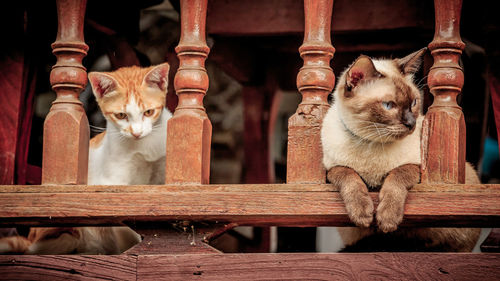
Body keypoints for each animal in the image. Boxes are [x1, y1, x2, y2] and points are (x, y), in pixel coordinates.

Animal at [0, 63, 172, 254]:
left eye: (148, 112)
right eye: (121, 115)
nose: (136, 133)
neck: (144, 147)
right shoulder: (113, 184)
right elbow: (125, 222)